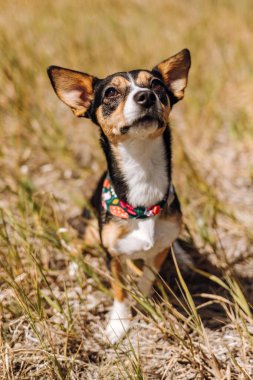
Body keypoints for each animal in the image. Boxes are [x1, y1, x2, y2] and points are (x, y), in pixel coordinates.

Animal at [47, 49, 191, 342]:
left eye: (157, 85)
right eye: (111, 92)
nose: (145, 96)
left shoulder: (157, 251)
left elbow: (148, 276)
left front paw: (144, 301)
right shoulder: (112, 255)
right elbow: (120, 290)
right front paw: (119, 324)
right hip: (92, 229)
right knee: (78, 242)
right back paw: (75, 267)